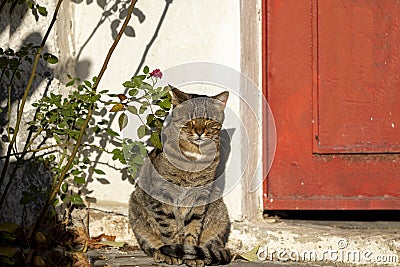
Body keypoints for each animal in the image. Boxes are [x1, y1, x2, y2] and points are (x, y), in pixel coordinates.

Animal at [128, 87, 231, 266]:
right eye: (189, 120)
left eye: (208, 120)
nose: (199, 132)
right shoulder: (162, 194)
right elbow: (168, 227)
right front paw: (173, 252)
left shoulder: (201, 195)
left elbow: (193, 227)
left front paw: (190, 254)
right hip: (135, 207)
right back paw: (161, 253)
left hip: (220, 214)